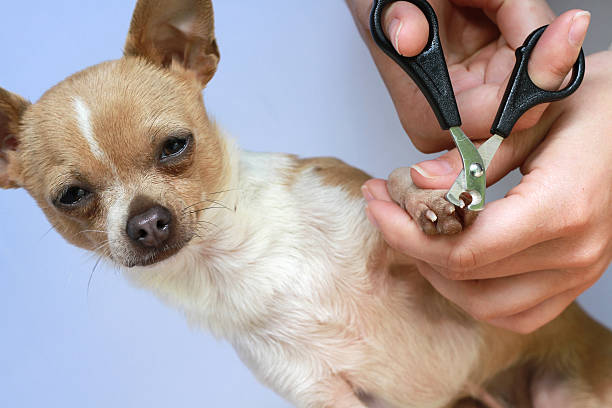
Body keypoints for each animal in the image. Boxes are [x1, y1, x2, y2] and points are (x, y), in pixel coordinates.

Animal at [1, 0, 612, 408]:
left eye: (175, 145)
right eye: (71, 196)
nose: (148, 223)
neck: (241, 261)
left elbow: (395, 179)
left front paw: (424, 198)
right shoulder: (320, 391)